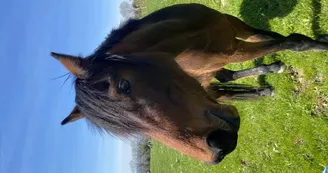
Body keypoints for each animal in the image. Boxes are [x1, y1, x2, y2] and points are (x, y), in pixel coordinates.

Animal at [51, 3, 328, 164]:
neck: (191, 35)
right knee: (225, 86)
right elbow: (290, 42)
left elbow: (280, 38)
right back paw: (264, 88)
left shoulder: (232, 25)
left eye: (124, 86)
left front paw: (321, 42)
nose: (217, 147)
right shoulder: (231, 51)